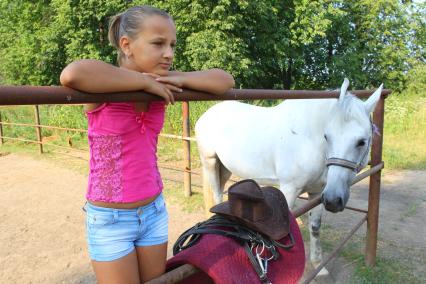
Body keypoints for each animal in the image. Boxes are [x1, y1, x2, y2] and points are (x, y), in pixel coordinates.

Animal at [195, 79, 382, 274]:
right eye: (327, 136)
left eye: (362, 141)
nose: (333, 200)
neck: (309, 139)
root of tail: (208, 114)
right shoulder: (290, 190)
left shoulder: (317, 193)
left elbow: (315, 227)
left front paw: (318, 266)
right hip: (210, 162)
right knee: (216, 194)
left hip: (224, 168)